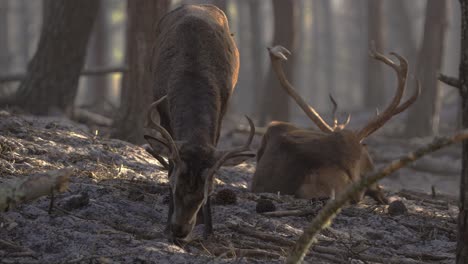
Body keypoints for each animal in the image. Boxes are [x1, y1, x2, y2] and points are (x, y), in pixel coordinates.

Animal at [144, 5, 254, 241]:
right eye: (174, 186)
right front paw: (165, 227)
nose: (180, 229)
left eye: (205, 193)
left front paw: (209, 229)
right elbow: (169, 163)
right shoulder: (163, 112)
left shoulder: (222, 110)